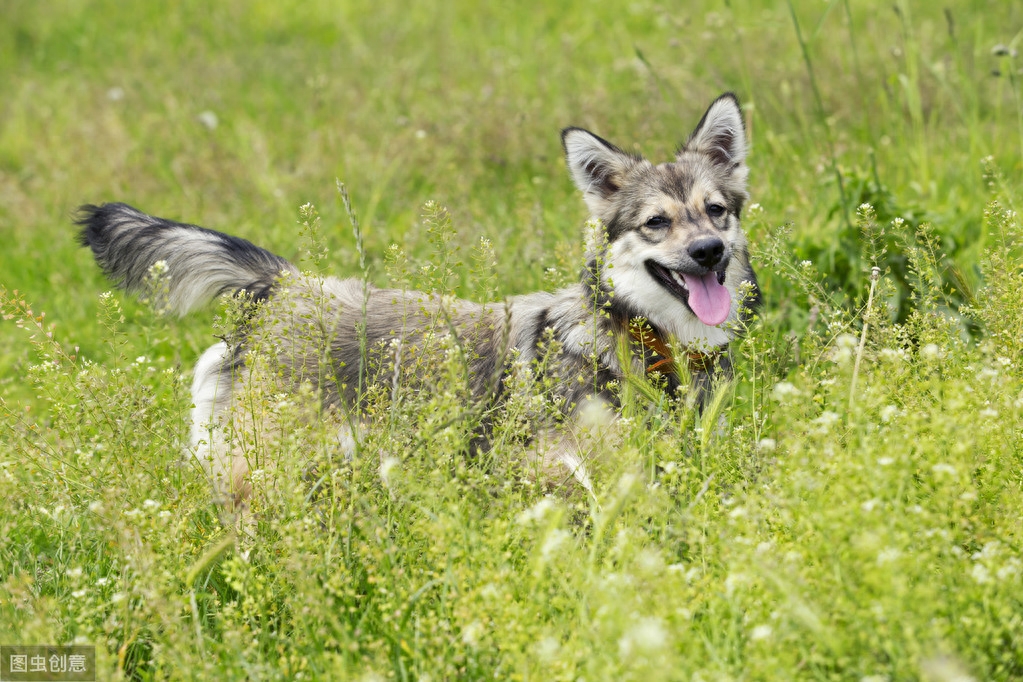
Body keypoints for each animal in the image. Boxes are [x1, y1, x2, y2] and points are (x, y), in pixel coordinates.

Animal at [75, 93, 757, 515]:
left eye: (716, 211)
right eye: (655, 223)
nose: (707, 252)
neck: (640, 335)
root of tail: (288, 284)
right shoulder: (554, 478)